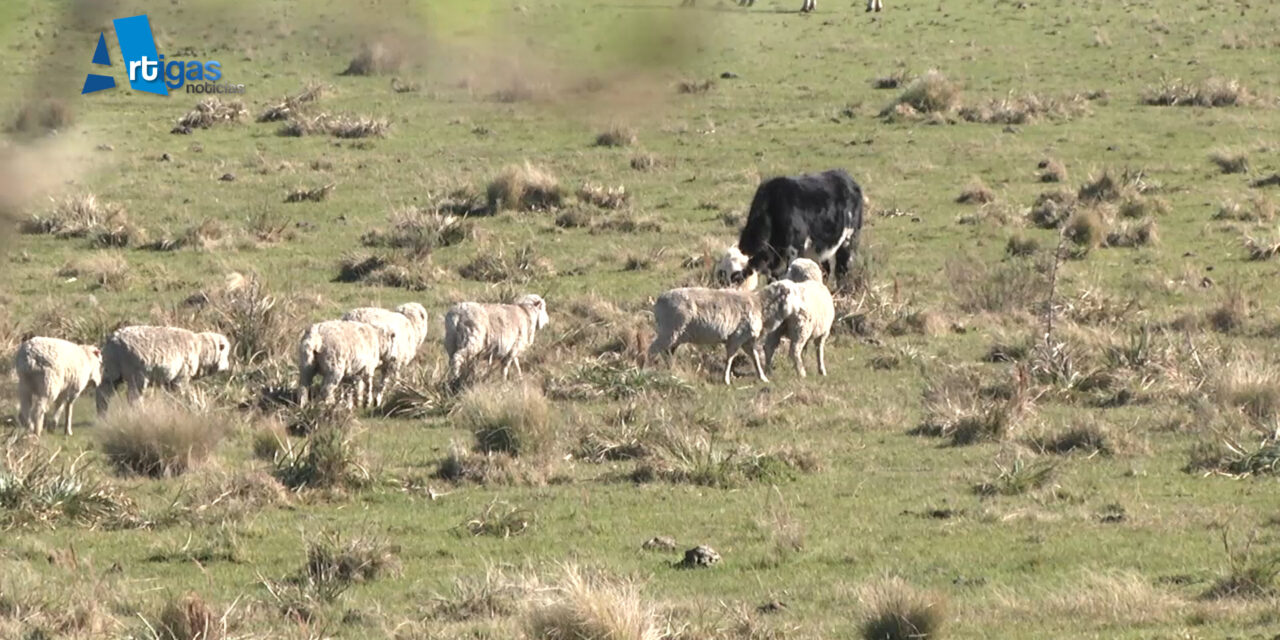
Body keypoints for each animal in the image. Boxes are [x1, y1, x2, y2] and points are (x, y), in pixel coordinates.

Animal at [97, 326, 231, 413]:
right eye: (225, 353)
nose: (227, 367)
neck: (200, 349)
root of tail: (114, 342)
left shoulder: (170, 381)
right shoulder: (181, 377)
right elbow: (182, 394)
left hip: (110, 371)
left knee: (103, 394)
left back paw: (102, 415)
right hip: (136, 375)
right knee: (134, 398)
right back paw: (140, 413)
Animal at [647, 285, 802, 385]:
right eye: (793, 293)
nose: (802, 308)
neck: (761, 306)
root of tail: (658, 301)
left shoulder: (747, 341)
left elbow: (755, 358)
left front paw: (762, 377)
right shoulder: (737, 337)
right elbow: (730, 359)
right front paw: (726, 380)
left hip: (675, 334)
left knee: (667, 353)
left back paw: (672, 371)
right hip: (670, 330)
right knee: (652, 350)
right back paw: (645, 370)